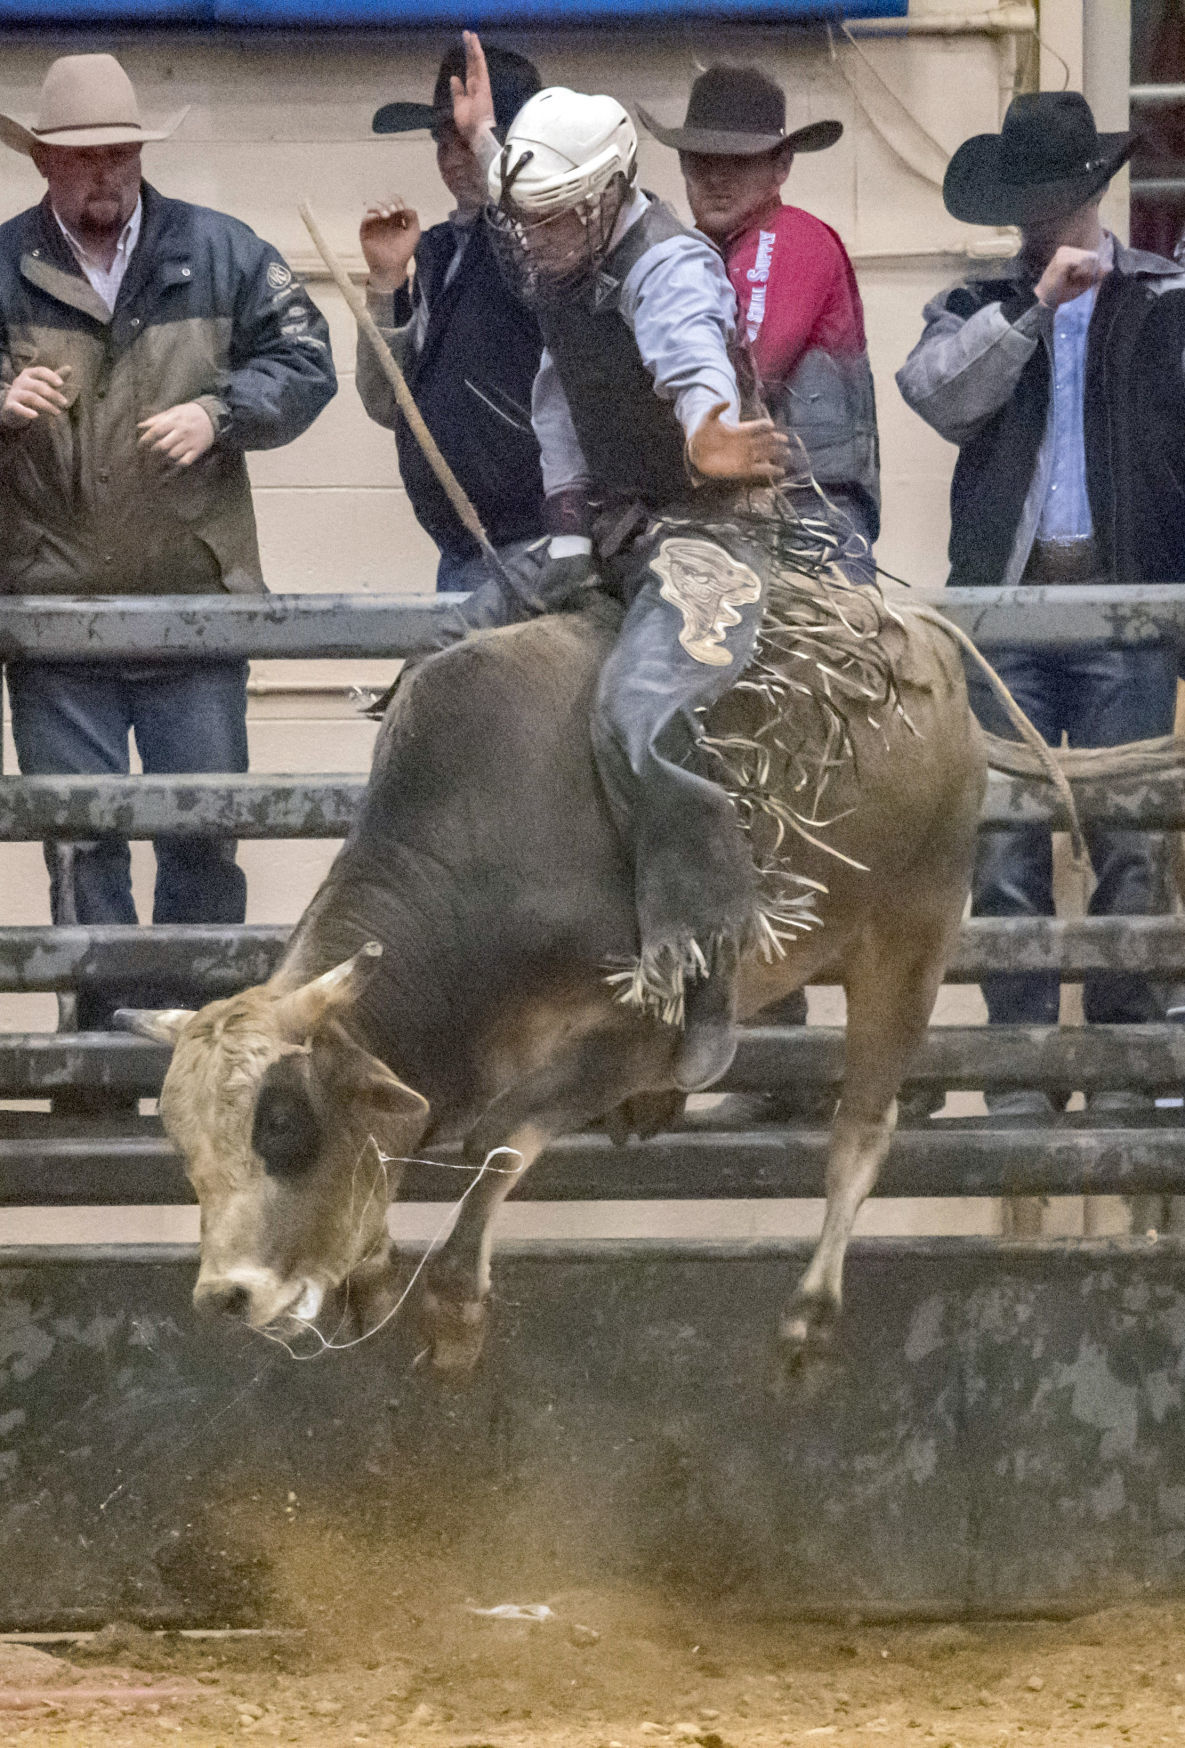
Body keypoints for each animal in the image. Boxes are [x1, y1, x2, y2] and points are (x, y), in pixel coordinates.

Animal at [124, 601, 985, 1377]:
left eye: (284, 1124)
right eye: (183, 1143)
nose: (224, 1295)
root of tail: (923, 637)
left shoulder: (638, 1036)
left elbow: (496, 1141)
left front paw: (453, 1308)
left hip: (913, 928)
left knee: (861, 1129)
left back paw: (808, 1321)